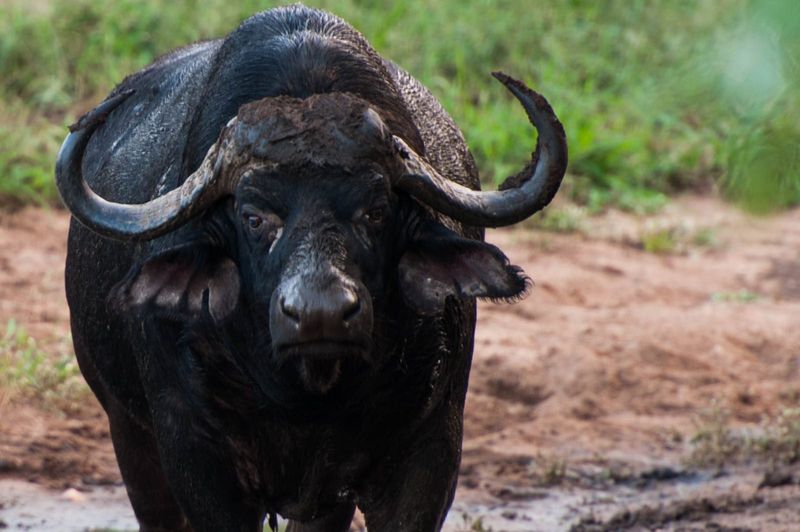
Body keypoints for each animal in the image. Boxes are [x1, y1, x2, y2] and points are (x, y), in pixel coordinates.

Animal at [56, 5, 567, 531]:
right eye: (253, 216)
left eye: (376, 211)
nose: (320, 314)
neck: (306, 397)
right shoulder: (193, 454)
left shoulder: (431, 449)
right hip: (127, 431)